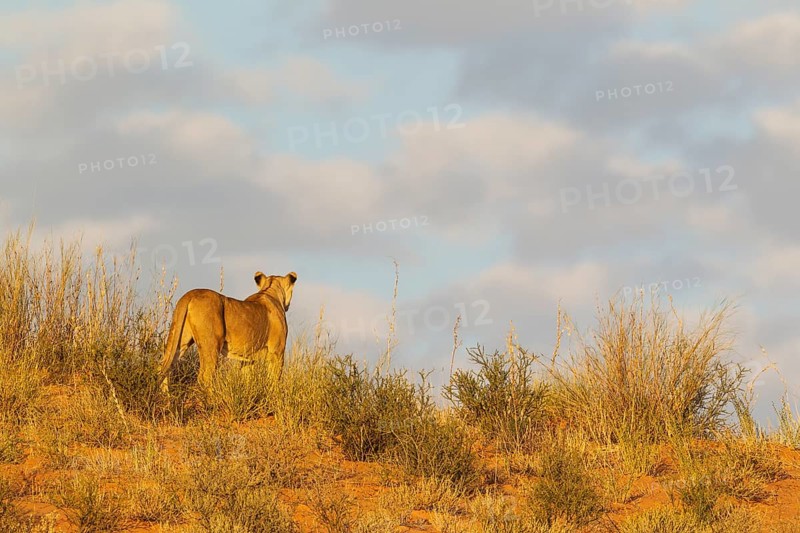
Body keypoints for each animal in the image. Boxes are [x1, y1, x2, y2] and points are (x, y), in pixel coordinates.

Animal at [159, 271, 297, 390]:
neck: (270, 290)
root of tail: (191, 294)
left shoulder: (248, 358)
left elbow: (247, 379)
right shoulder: (277, 352)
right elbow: (275, 380)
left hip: (179, 339)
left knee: (163, 367)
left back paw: (167, 398)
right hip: (212, 344)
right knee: (205, 377)